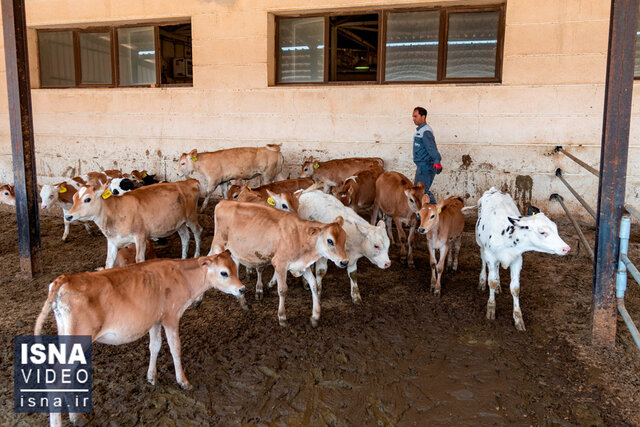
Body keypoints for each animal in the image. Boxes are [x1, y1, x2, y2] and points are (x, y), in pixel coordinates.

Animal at [35, 252, 245, 426]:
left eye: (236, 268)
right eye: (224, 273)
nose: (242, 289)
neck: (181, 275)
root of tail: (66, 278)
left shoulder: (155, 319)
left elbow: (155, 346)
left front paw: (151, 377)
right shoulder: (171, 317)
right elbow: (175, 348)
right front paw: (183, 381)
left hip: (67, 335)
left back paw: (76, 417)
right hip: (79, 337)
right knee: (56, 379)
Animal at [66, 180, 201, 268]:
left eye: (87, 199)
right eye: (73, 198)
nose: (68, 216)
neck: (115, 211)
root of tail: (189, 182)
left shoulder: (140, 236)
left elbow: (139, 259)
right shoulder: (112, 241)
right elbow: (108, 262)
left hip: (191, 217)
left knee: (198, 232)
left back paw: (196, 255)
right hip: (180, 223)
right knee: (185, 237)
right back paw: (183, 259)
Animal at [209, 202, 348, 330]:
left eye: (345, 239)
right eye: (330, 240)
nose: (345, 262)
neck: (299, 236)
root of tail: (224, 202)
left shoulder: (301, 265)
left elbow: (314, 284)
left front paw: (315, 316)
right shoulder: (280, 263)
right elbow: (282, 290)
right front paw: (282, 317)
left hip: (235, 252)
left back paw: (242, 300)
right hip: (218, 245)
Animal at [476, 186, 568, 332]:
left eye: (555, 228)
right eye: (542, 232)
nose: (566, 248)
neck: (506, 234)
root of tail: (493, 189)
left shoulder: (517, 259)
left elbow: (515, 288)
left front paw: (518, 319)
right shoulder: (490, 255)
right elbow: (492, 282)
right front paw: (491, 308)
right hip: (480, 244)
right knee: (483, 261)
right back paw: (482, 280)